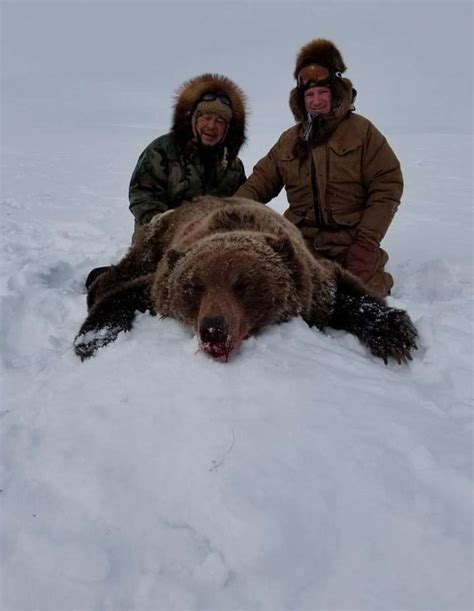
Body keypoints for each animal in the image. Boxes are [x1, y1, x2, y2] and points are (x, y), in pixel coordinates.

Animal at [74, 198, 418, 366]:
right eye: (194, 287)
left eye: (243, 284)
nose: (213, 328)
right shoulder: (161, 281)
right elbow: (125, 294)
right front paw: (91, 341)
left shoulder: (313, 282)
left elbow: (346, 292)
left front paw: (394, 335)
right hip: (155, 240)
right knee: (117, 274)